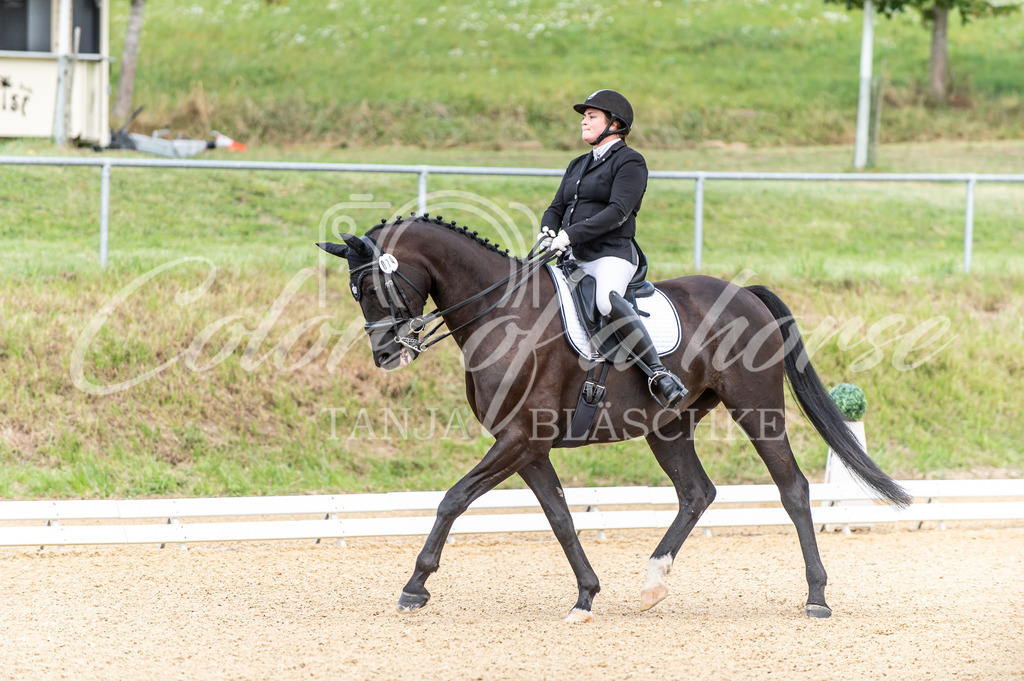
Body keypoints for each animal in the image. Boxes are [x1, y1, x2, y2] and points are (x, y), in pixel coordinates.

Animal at [315, 214, 909, 622]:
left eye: (373, 287)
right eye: (355, 291)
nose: (386, 355)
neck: (502, 312)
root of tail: (744, 294)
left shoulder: (519, 439)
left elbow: (453, 498)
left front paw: (415, 585)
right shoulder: (527, 446)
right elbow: (560, 517)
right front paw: (585, 594)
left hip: (757, 410)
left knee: (793, 490)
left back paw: (816, 596)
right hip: (668, 426)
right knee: (697, 493)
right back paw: (652, 582)